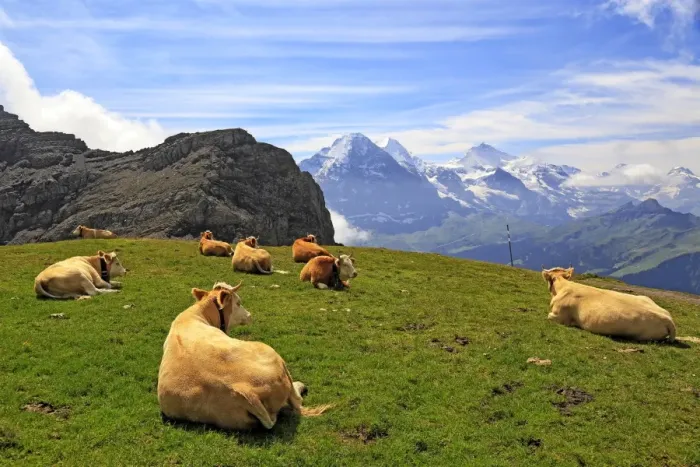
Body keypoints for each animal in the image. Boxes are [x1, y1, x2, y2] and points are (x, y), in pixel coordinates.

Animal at [157, 282, 331, 431]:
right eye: (238, 302)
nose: (250, 315)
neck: (195, 315)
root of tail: (244, 390)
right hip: (273, 355)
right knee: (296, 399)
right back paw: (300, 386)